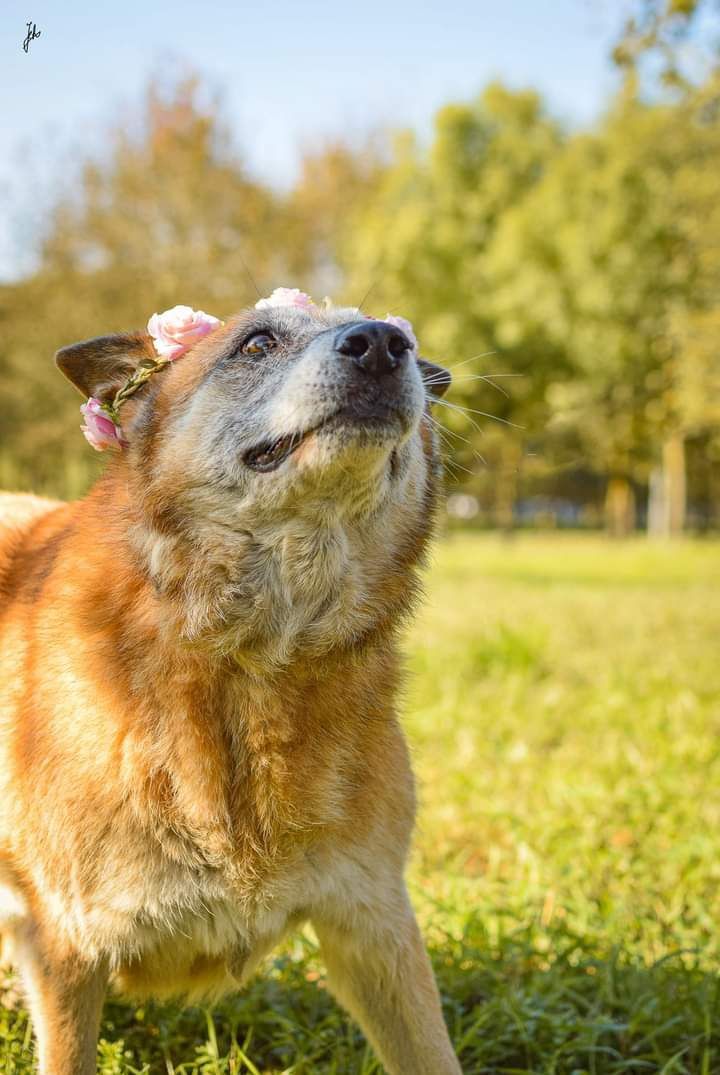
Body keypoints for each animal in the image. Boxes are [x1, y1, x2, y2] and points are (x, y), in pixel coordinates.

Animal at [0, 296, 462, 1075]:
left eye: (397, 335)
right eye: (258, 343)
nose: (380, 345)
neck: (250, 661)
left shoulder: (374, 921)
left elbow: (430, 1052)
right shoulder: (65, 946)